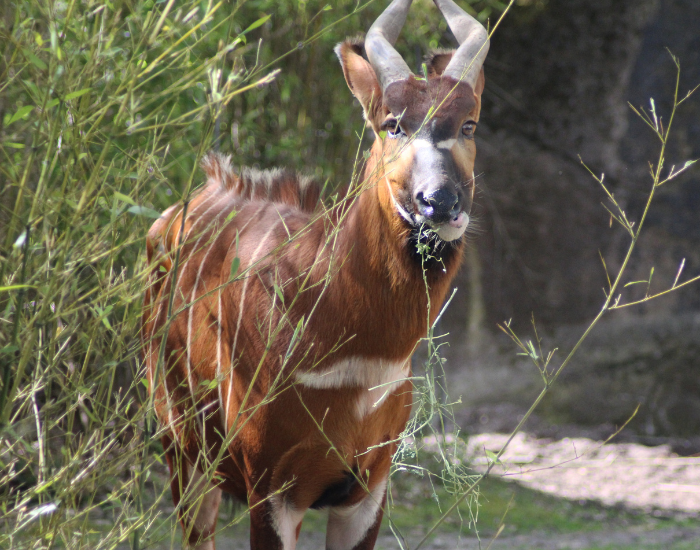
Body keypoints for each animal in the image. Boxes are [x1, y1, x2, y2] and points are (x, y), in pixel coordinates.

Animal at [142, 0, 489, 548]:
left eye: (469, 125)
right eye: (392, 124)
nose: (439, 202)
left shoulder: (367, 489)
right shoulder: (272, 489)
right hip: (182, 447)